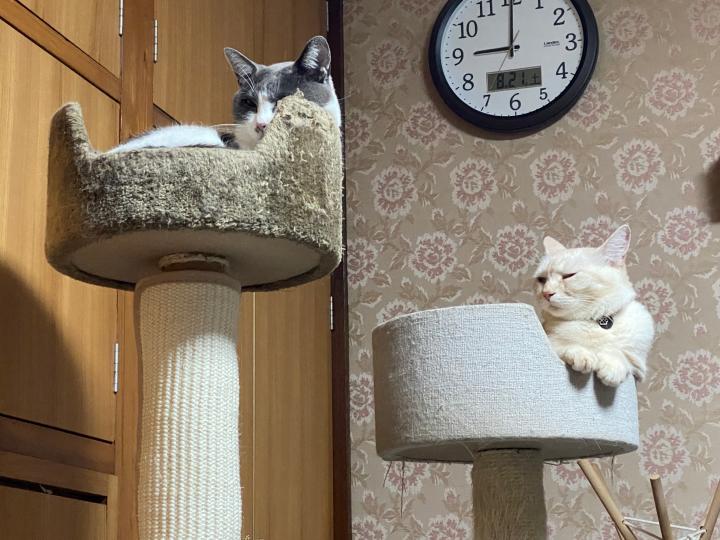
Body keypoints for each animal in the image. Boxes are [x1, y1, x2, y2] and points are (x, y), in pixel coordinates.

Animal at [533, 225, 655, 387]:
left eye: (569, 276)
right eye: (541, 279)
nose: (546, 293)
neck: (596, 321)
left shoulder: (638, 367)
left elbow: (620, 353)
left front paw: (612, 366)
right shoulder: (550, 343)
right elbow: (563, 345)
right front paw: (583, 354)